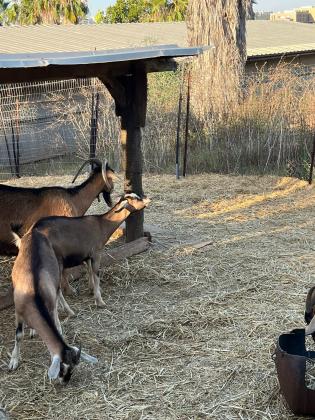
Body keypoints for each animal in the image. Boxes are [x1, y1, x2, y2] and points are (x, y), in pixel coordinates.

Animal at [9, 228, 97, 382]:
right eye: (62, 367)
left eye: (73, 368)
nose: (65, 381)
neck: (34, 294)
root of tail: (34, 232)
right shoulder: (18, 311)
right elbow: (19, 335)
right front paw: (14, 361)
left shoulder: (49, 305)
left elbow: (54, 315)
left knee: (58, 293)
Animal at [18, 194, 151, 308]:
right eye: (136, 198)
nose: (148, 199)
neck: (102, 225)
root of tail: (33, 232)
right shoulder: (96, 254)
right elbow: (96, 274)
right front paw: (100, 301)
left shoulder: (87, 255)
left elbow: (89, 271)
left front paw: (92, 290)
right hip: (56, 262)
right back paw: (68, 310)